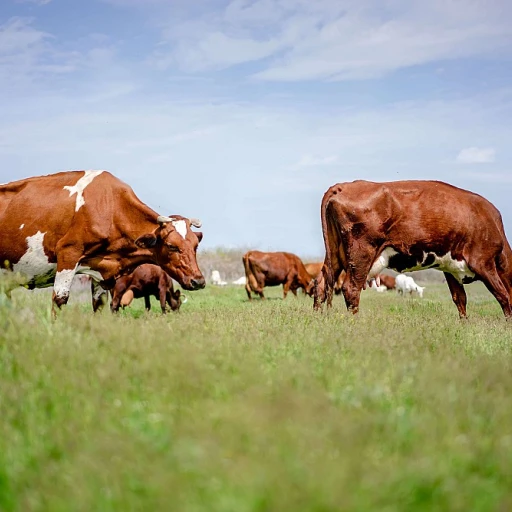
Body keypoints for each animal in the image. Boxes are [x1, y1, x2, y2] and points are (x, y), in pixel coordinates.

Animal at [2, 170, 206, 314]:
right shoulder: (68, 253)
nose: (198, 281)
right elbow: (59, 302)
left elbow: (99, 305)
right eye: (172, 246)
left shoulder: (100, 271)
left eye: (195, 246)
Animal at [314, 178, 512, 318]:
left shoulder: (450, 268)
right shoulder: (483, 262)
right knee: (351, 288)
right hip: (360, 254)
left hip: (335, 253)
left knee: (321, 284)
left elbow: (460, 300)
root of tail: (343, 186)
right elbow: (503, 296)